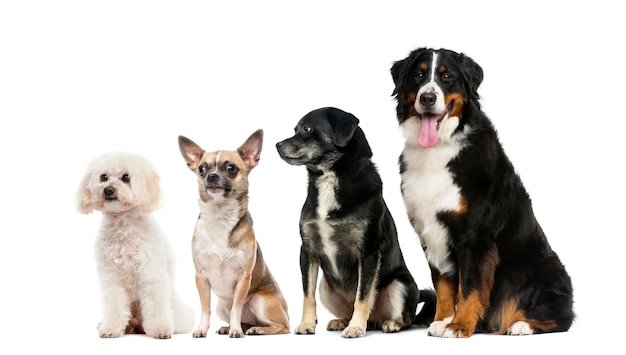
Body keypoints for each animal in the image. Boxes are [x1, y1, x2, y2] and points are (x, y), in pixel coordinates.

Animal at [77, 152, 195, 338]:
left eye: (126, 177)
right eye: (103, 177)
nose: (108, 190)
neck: (123, 225)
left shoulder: (151, 274)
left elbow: (156, 306)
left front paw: (160, 329)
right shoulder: (111, 278)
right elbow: (114, 305)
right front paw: (111, 328)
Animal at [178, 129, 290, 338]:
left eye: (231, 168)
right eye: (201, 169)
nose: (211, 176)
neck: (220, 218)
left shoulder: (243, 278)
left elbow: (236, 308)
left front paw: (236, 330)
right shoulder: (201, 277)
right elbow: (205, 309)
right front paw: (202, 329)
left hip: (259, 301)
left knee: (282, 327)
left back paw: (256, 329)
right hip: (221, 307)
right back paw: (231, 327)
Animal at [272, 108, 434, 340]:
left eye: (307, 128)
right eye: (296, 129)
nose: (277, 145)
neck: (329, 177)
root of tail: (375, 321)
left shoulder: (368, 252)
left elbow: (363, 296)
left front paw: (356, 327)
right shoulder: (308, 251)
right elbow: (307, 295)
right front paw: (307, 324)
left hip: (401, 285)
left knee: (406, 318)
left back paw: (390, 324)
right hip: (325, 287)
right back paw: (342, 321)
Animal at [390, 46, 576, 336]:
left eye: (446, 77)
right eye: (418, 75)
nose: (428, 98)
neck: (439, 149)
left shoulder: (475, 235)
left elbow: (470, 286)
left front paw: (459, 325)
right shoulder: (430, 232)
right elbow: (444, 286)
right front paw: (442, 320)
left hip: (539, 269)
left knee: (562, 317)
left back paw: (522, 324)